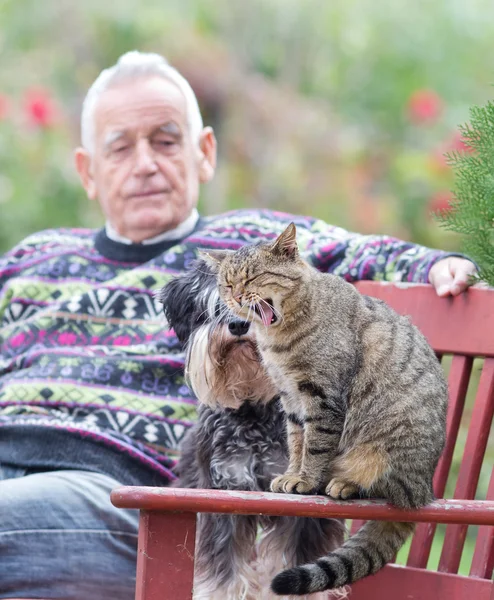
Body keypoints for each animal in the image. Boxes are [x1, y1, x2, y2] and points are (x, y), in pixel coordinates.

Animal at [160, 258, 346, 600]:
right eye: (213, 305)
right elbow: (223, 567)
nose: (236, 325)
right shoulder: (221, 491)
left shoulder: (304, 504)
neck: (254, 410)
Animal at [203, 224, 450, 596]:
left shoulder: (323, 396)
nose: (237, 297)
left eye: (254, 277)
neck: (279, 338)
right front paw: (291, 475)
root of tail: (426, 491)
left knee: (386, 489)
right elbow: (297, 443)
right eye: (228, 284)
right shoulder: (290, 399)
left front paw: (305, 481)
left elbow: (316, 446)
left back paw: (345, 484)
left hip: (387, 446)